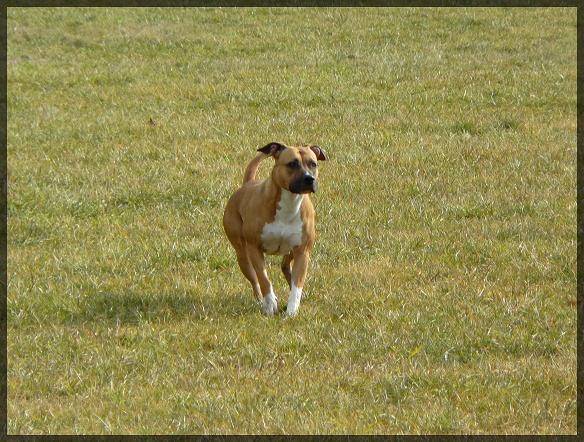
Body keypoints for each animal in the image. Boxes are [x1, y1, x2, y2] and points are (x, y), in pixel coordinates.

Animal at [223, 142, 327, 317]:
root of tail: (247, 183)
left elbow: (297, 285)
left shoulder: (302, 251)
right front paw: (270, 304)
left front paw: (291, 310)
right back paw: (260, 301)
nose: (309, 178)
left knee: (285, 265)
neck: (290, 202)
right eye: (292, 164)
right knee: (254, 279)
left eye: (313, 163)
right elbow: (263, 278)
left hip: (291, 250)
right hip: (242, 255)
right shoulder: (254, 248)